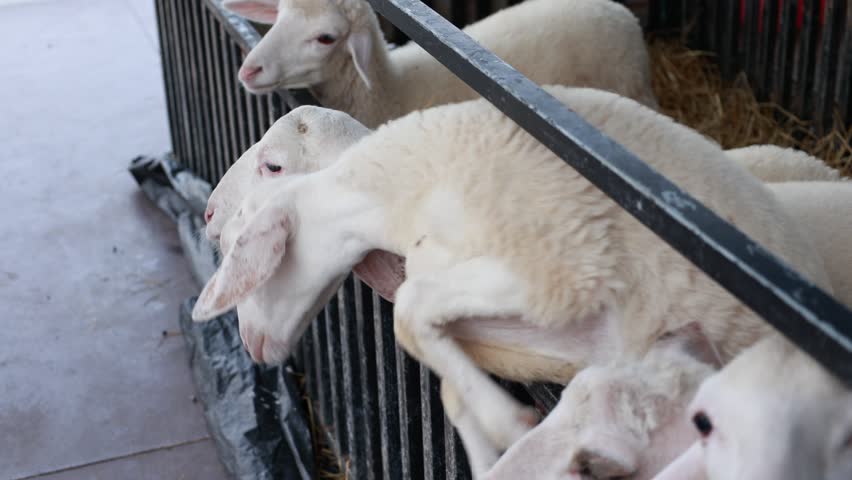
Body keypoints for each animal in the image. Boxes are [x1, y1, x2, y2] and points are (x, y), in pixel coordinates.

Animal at [190, 86, 830, 476]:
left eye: (273, 165)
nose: (208, 213)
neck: (397, 195)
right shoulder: (564, 335)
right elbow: (442, 368)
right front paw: (489, 438)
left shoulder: (561, 271)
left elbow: (411, 311)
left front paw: (507, 420)